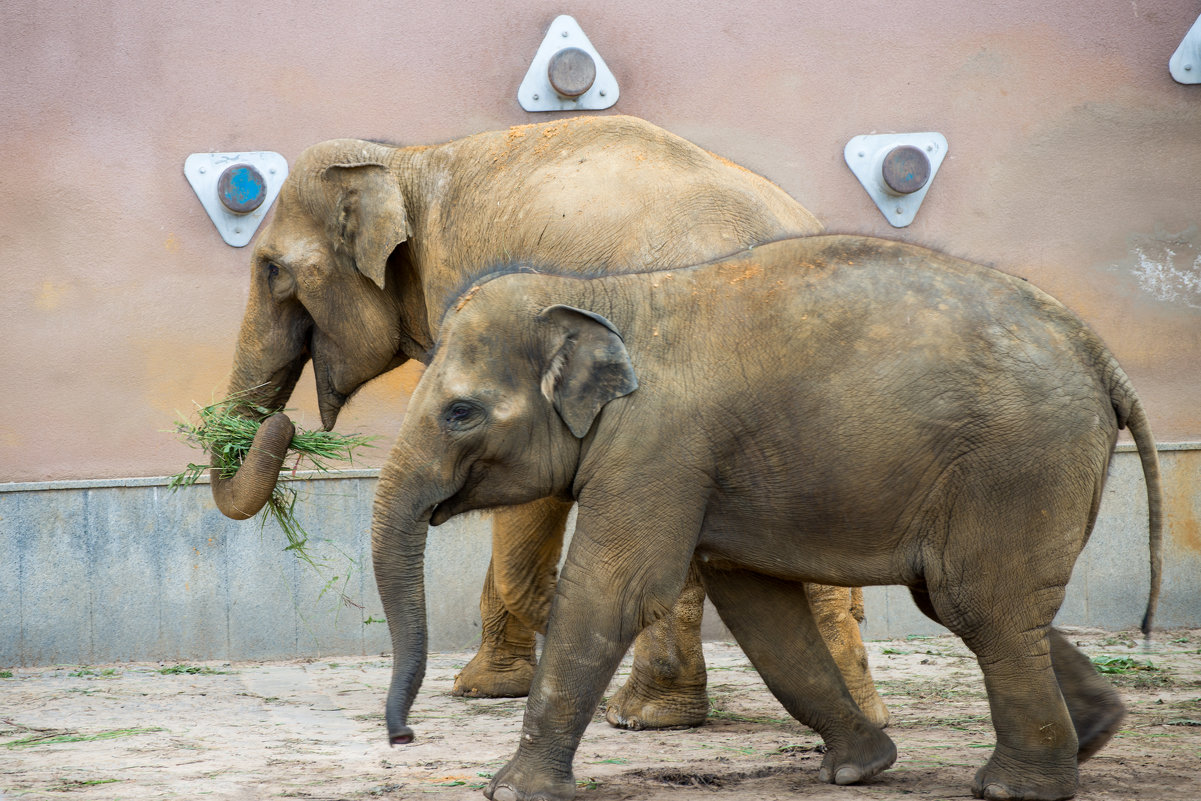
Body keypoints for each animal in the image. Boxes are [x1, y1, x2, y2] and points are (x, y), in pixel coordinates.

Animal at [206, 117, 888, 725]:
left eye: (271, 270)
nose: (283, 429)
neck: (408, 160)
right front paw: (483, 690)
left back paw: (644, 714)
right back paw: (856, 711)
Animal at [377, 235, 1162, 801]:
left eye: (460, 412)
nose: (403, 737)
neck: (599, 291)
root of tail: (1101, 354)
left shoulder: (658, 444)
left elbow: (615, 589)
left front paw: (510, 792)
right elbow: (756, 604)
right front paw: (859, 770)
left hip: (1018, 462)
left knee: (979, 604)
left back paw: (1014, 789)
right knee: (963, 601)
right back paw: (1094, 734)